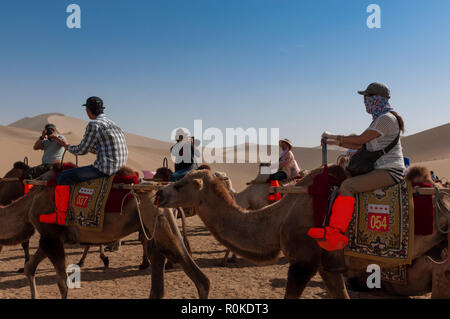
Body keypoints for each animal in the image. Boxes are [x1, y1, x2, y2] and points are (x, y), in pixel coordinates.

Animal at [0, 172, 210, 300]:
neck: (29, 203)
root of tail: (160, 190)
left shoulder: (51, 237)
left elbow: (62, 284)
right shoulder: (49, 239)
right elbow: (29, 268)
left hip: (160, 221)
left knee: (197, 275)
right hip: (154, 225)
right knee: (158, 263)